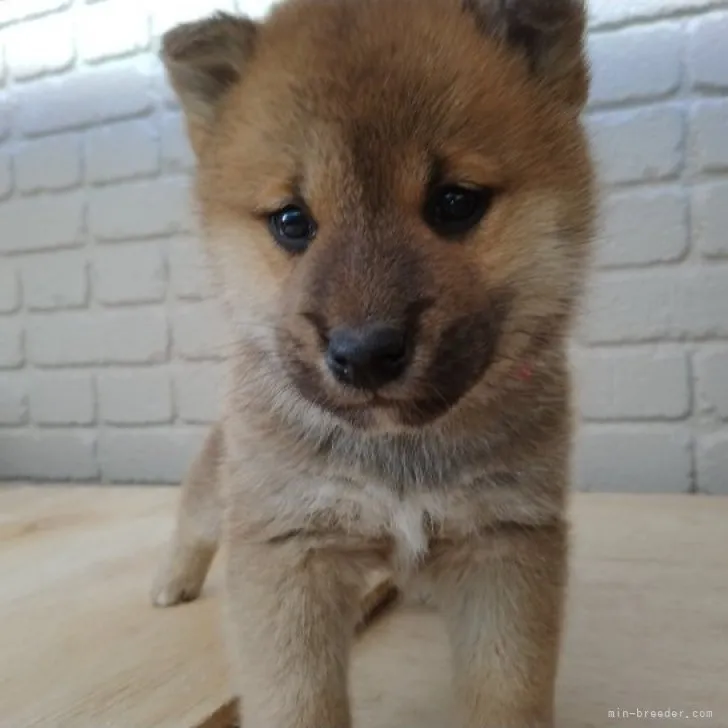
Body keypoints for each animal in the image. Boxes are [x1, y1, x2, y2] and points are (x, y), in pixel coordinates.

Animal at [151, 1, 596, 728]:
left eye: (455, 202)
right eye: (292, 221)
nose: (364, 353)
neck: (400, 454)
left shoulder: (504, 542)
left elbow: (508, 690)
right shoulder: (288, 550)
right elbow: (296, 701)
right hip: (222, 489)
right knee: (192, 521)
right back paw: (171, 582)